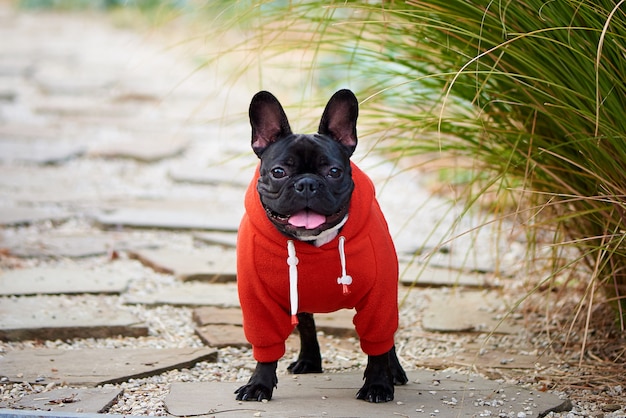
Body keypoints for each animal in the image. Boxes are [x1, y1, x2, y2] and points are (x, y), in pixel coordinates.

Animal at [233, 90, 404, 404]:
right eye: (278, 171)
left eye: (334, 171)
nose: (307, 184)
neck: (313, 243)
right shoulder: (258, 301)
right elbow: (267, 343)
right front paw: (259, 384)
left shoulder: (380, 296)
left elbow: (378, 342)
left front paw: (378, 384)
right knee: (307, 323)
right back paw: (309, 361)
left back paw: (394, 371)